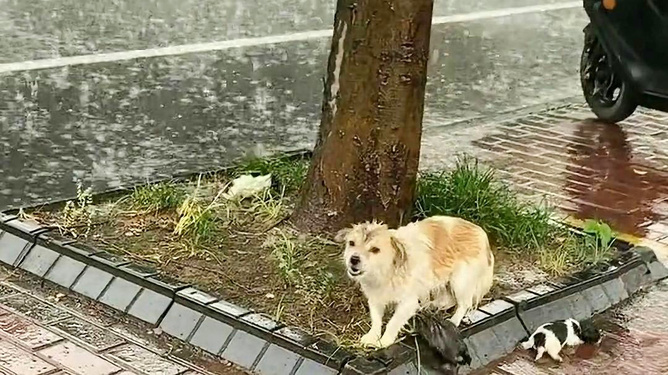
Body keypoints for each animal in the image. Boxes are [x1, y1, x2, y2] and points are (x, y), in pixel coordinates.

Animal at [336, 217, 494, 350]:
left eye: (375, 250)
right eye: (351, 243)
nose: (354, 259)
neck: (388, 271)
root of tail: (481, 233)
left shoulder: (408, 302)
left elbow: (393, 322)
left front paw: (385, 341)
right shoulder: (375, 298)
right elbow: (376, 319)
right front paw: (372, 336)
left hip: (460, 281)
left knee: (464, 303)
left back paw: (453, 321)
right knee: (448, 299)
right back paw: (431, 306)